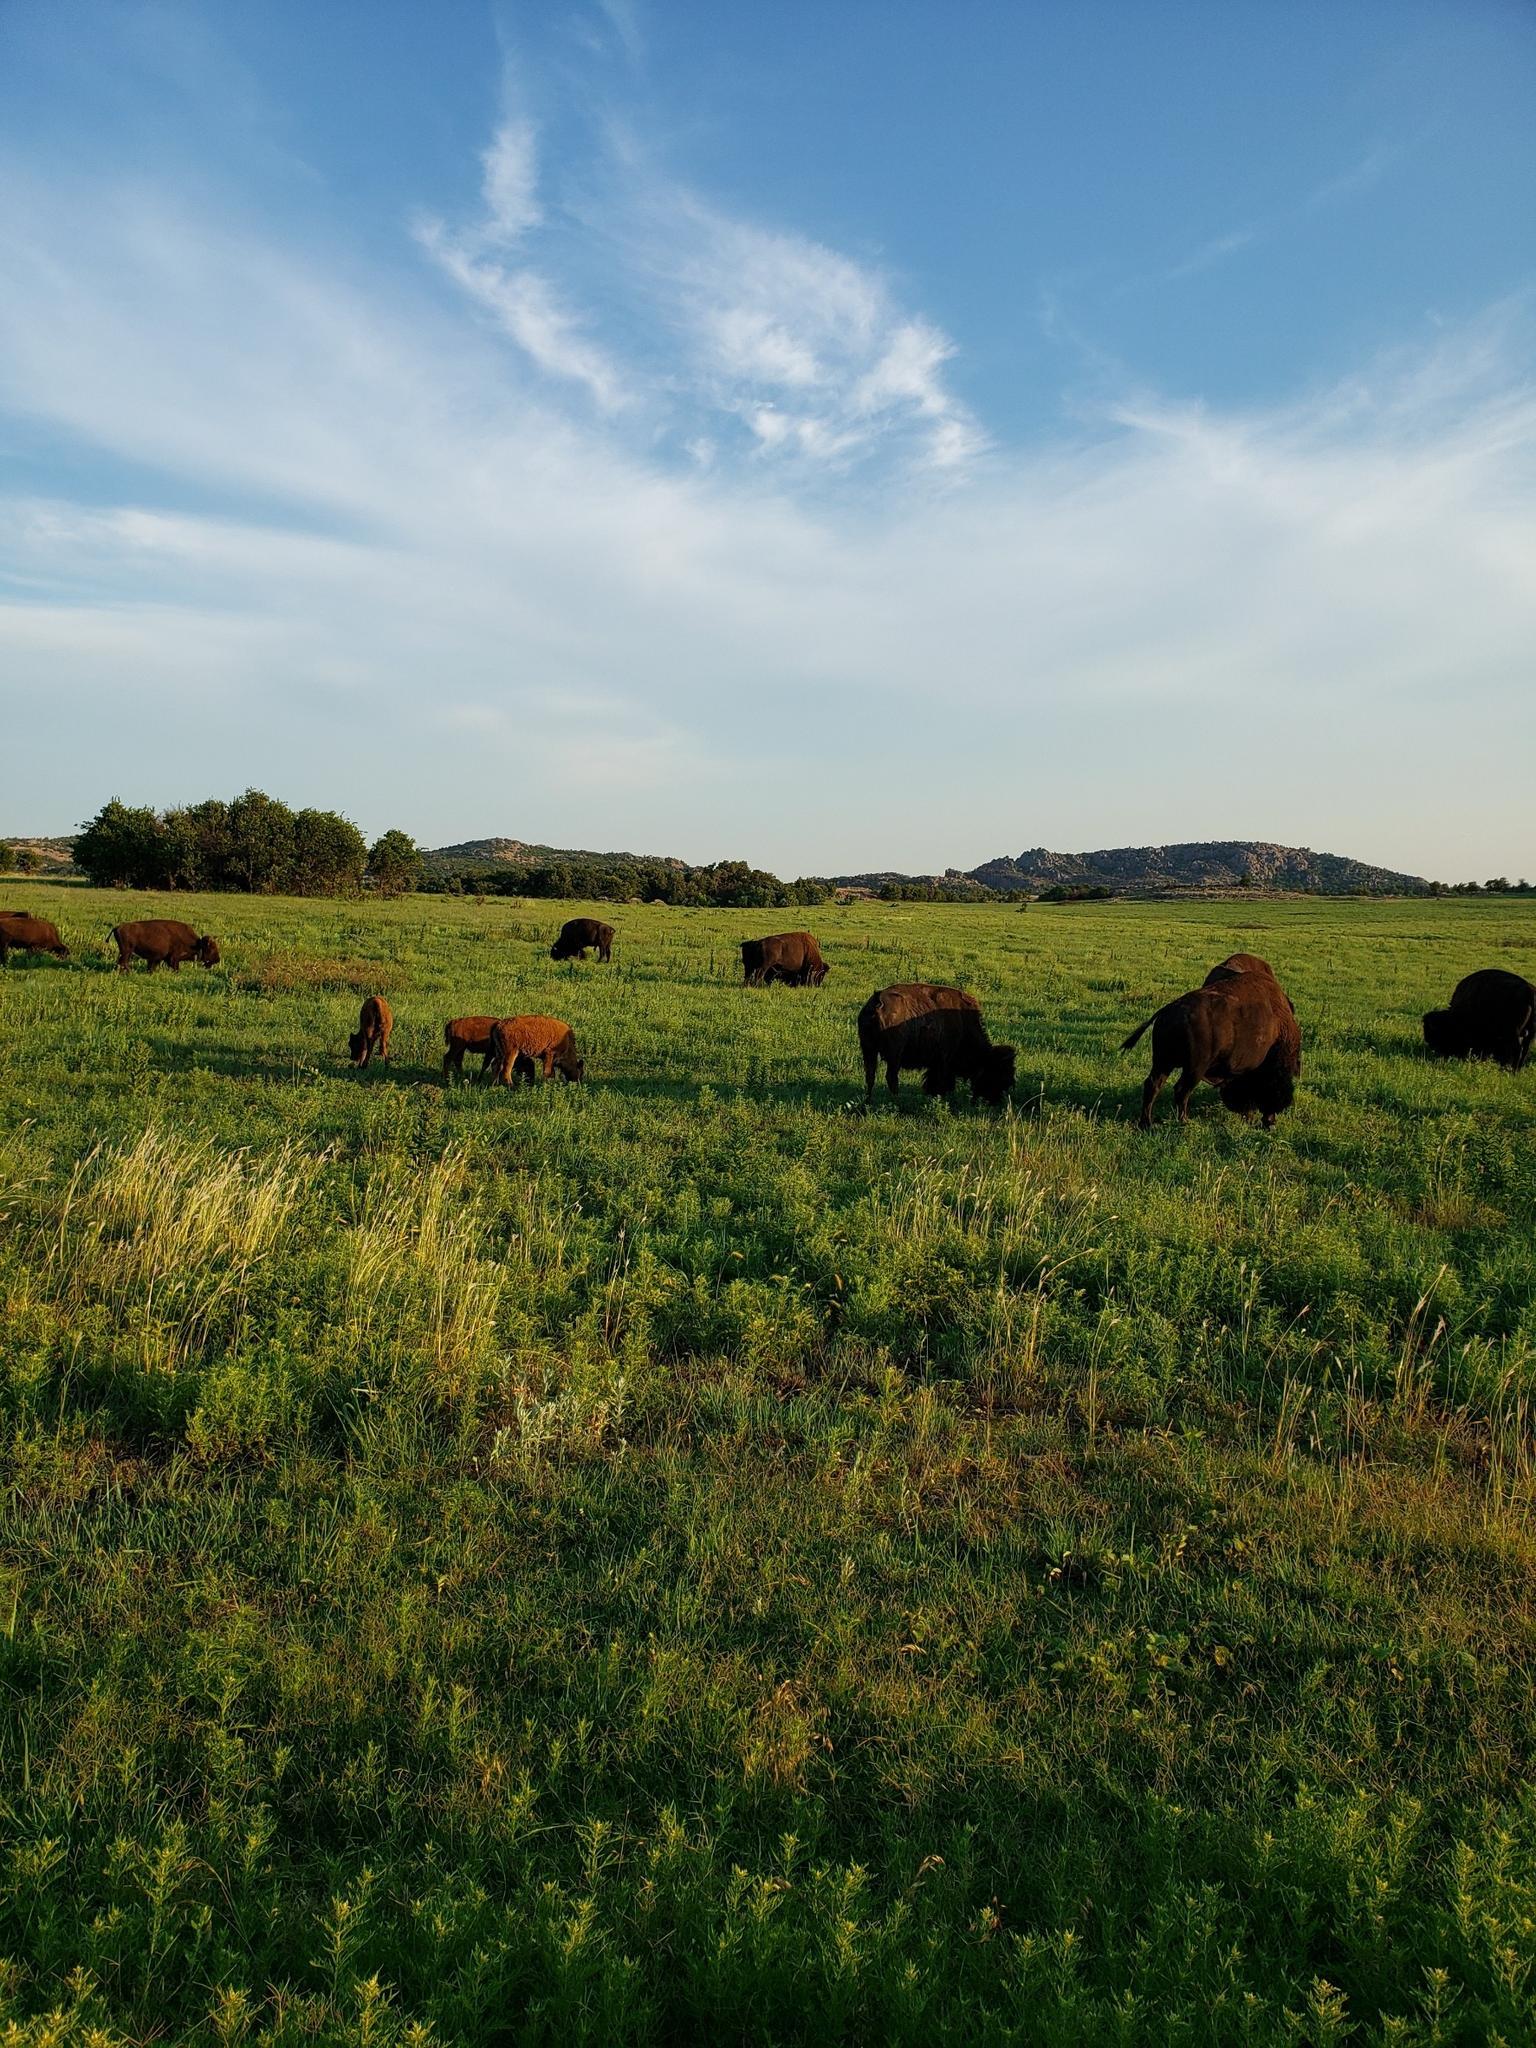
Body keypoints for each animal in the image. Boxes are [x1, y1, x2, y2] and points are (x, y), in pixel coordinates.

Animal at [858, 983, 1016, 1106]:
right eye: (997, 1072)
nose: (995, 1101)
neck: (963, 1024)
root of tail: (877, 1002)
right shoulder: (944, 1060)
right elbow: (942, 1081)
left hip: (868, 1050)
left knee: (870, 1076)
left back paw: (867, 1102)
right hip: (894, 1054)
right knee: (891, 1077)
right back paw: (897, 1102)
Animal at [1123, 960, 1301, 1127]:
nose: (1270, 1122)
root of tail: (1168, 1010)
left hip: (1163, 1062)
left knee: (1153, 1085)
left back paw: (1146, 1124)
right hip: (1194, 1068)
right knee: (1181, 1090)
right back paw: (1184, 1121)